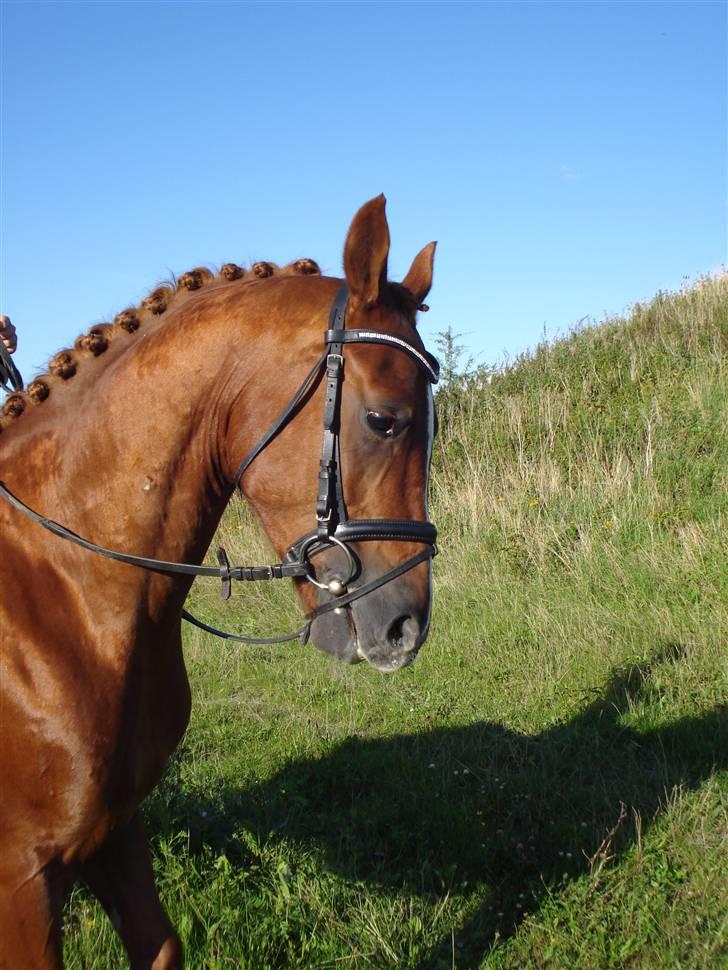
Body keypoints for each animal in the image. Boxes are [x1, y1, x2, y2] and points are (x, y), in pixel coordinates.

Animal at [0, 199, 438, 968]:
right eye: (384, 420)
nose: (406, 626)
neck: (65, 593)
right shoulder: (22, 878)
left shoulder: (114, 829)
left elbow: (162, 948)